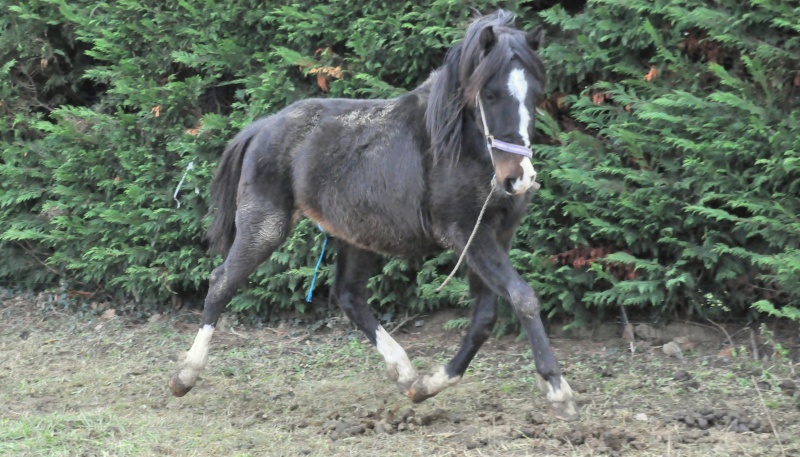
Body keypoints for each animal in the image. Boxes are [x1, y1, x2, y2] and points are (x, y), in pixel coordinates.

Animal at [170, 10, 576, 420]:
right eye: (489, 94)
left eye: (536, 95)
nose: (519, 178)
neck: (456, 146)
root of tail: (260, 128)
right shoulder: (467, 234)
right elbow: (523, 297)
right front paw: (558, 389)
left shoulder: (495, 237)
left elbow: (485, 317)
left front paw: (429, 385)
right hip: (264, 226)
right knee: (222, 281)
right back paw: (185, 376)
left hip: (357, 236)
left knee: (349, 296)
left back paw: (405, 372)